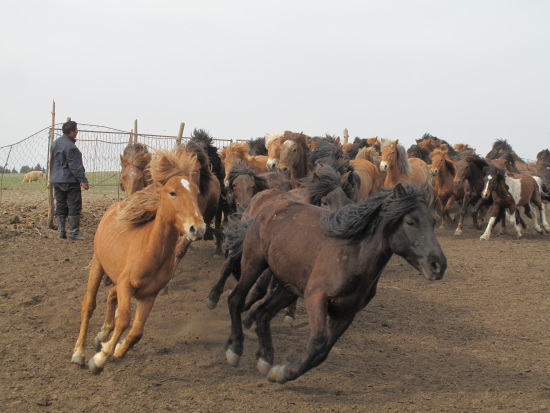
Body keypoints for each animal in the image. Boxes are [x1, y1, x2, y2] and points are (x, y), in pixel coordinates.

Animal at [71, 146, 205, 372]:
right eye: (172, 192)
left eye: (196, 193)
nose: (198, 228)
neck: (151, 251)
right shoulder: (126, 286)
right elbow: (124, 319)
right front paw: (98, 360)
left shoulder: (149, 294)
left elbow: (136, 332)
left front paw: (114, 349)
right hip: (98, 264)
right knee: (88, 304)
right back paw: (79, 353)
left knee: (111, 297)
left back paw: (102, 336)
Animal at [224, 183, 448, 384]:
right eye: (410, 222)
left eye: (433, 221)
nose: (438, 264)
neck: (353, 255)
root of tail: (266, 209)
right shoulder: (316, 297)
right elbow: (318, 341)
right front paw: (282, 371)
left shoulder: (346, 313)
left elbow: (322, 353)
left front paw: (281, 371)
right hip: (254, 263)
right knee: (236, 299)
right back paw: (234, 350)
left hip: (289, 287)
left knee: (263, 313)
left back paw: (265, 358)